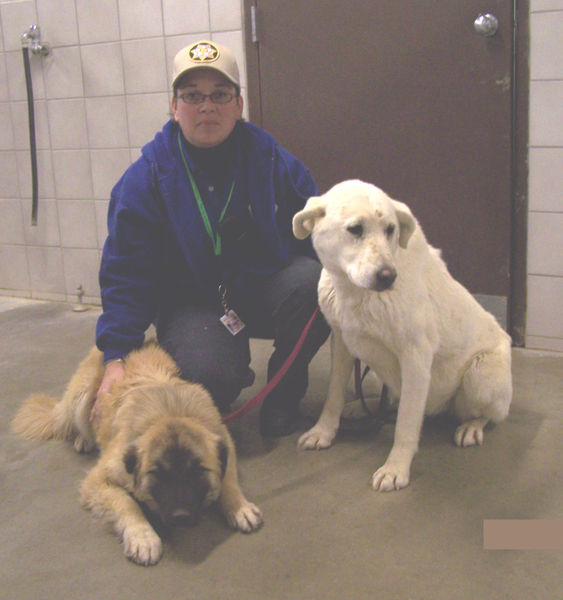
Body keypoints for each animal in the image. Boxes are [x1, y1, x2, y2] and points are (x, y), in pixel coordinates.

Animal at [294, 182, 512, 492]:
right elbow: (333, 396)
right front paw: (323, 431)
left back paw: (471, 427)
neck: (355, 293)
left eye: (390, 230)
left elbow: (406, 423)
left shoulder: (416, 358)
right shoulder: (342, 342)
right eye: (355, 229)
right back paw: (363, 408)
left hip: (480, 377)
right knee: (389, 398)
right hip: (376, 371)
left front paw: (395, 468)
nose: (387, 276)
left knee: (487, 415)